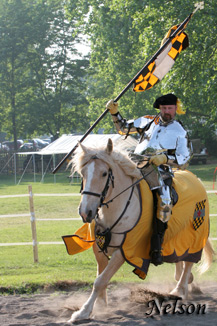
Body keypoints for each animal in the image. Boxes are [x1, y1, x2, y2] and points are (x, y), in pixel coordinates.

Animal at [67, 139, 214, 322]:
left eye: (104, 173)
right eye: (83, 173)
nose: (86, 212)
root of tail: (197, 180)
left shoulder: (124, 251)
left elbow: (100, 280)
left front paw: (83, 311)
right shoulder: (99, 248)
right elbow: (101, 277)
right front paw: (101, 304)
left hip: (194, 235)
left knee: (188, 262)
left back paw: (179, 290)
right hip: (177, 237)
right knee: (180, 260)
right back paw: (186, 283)